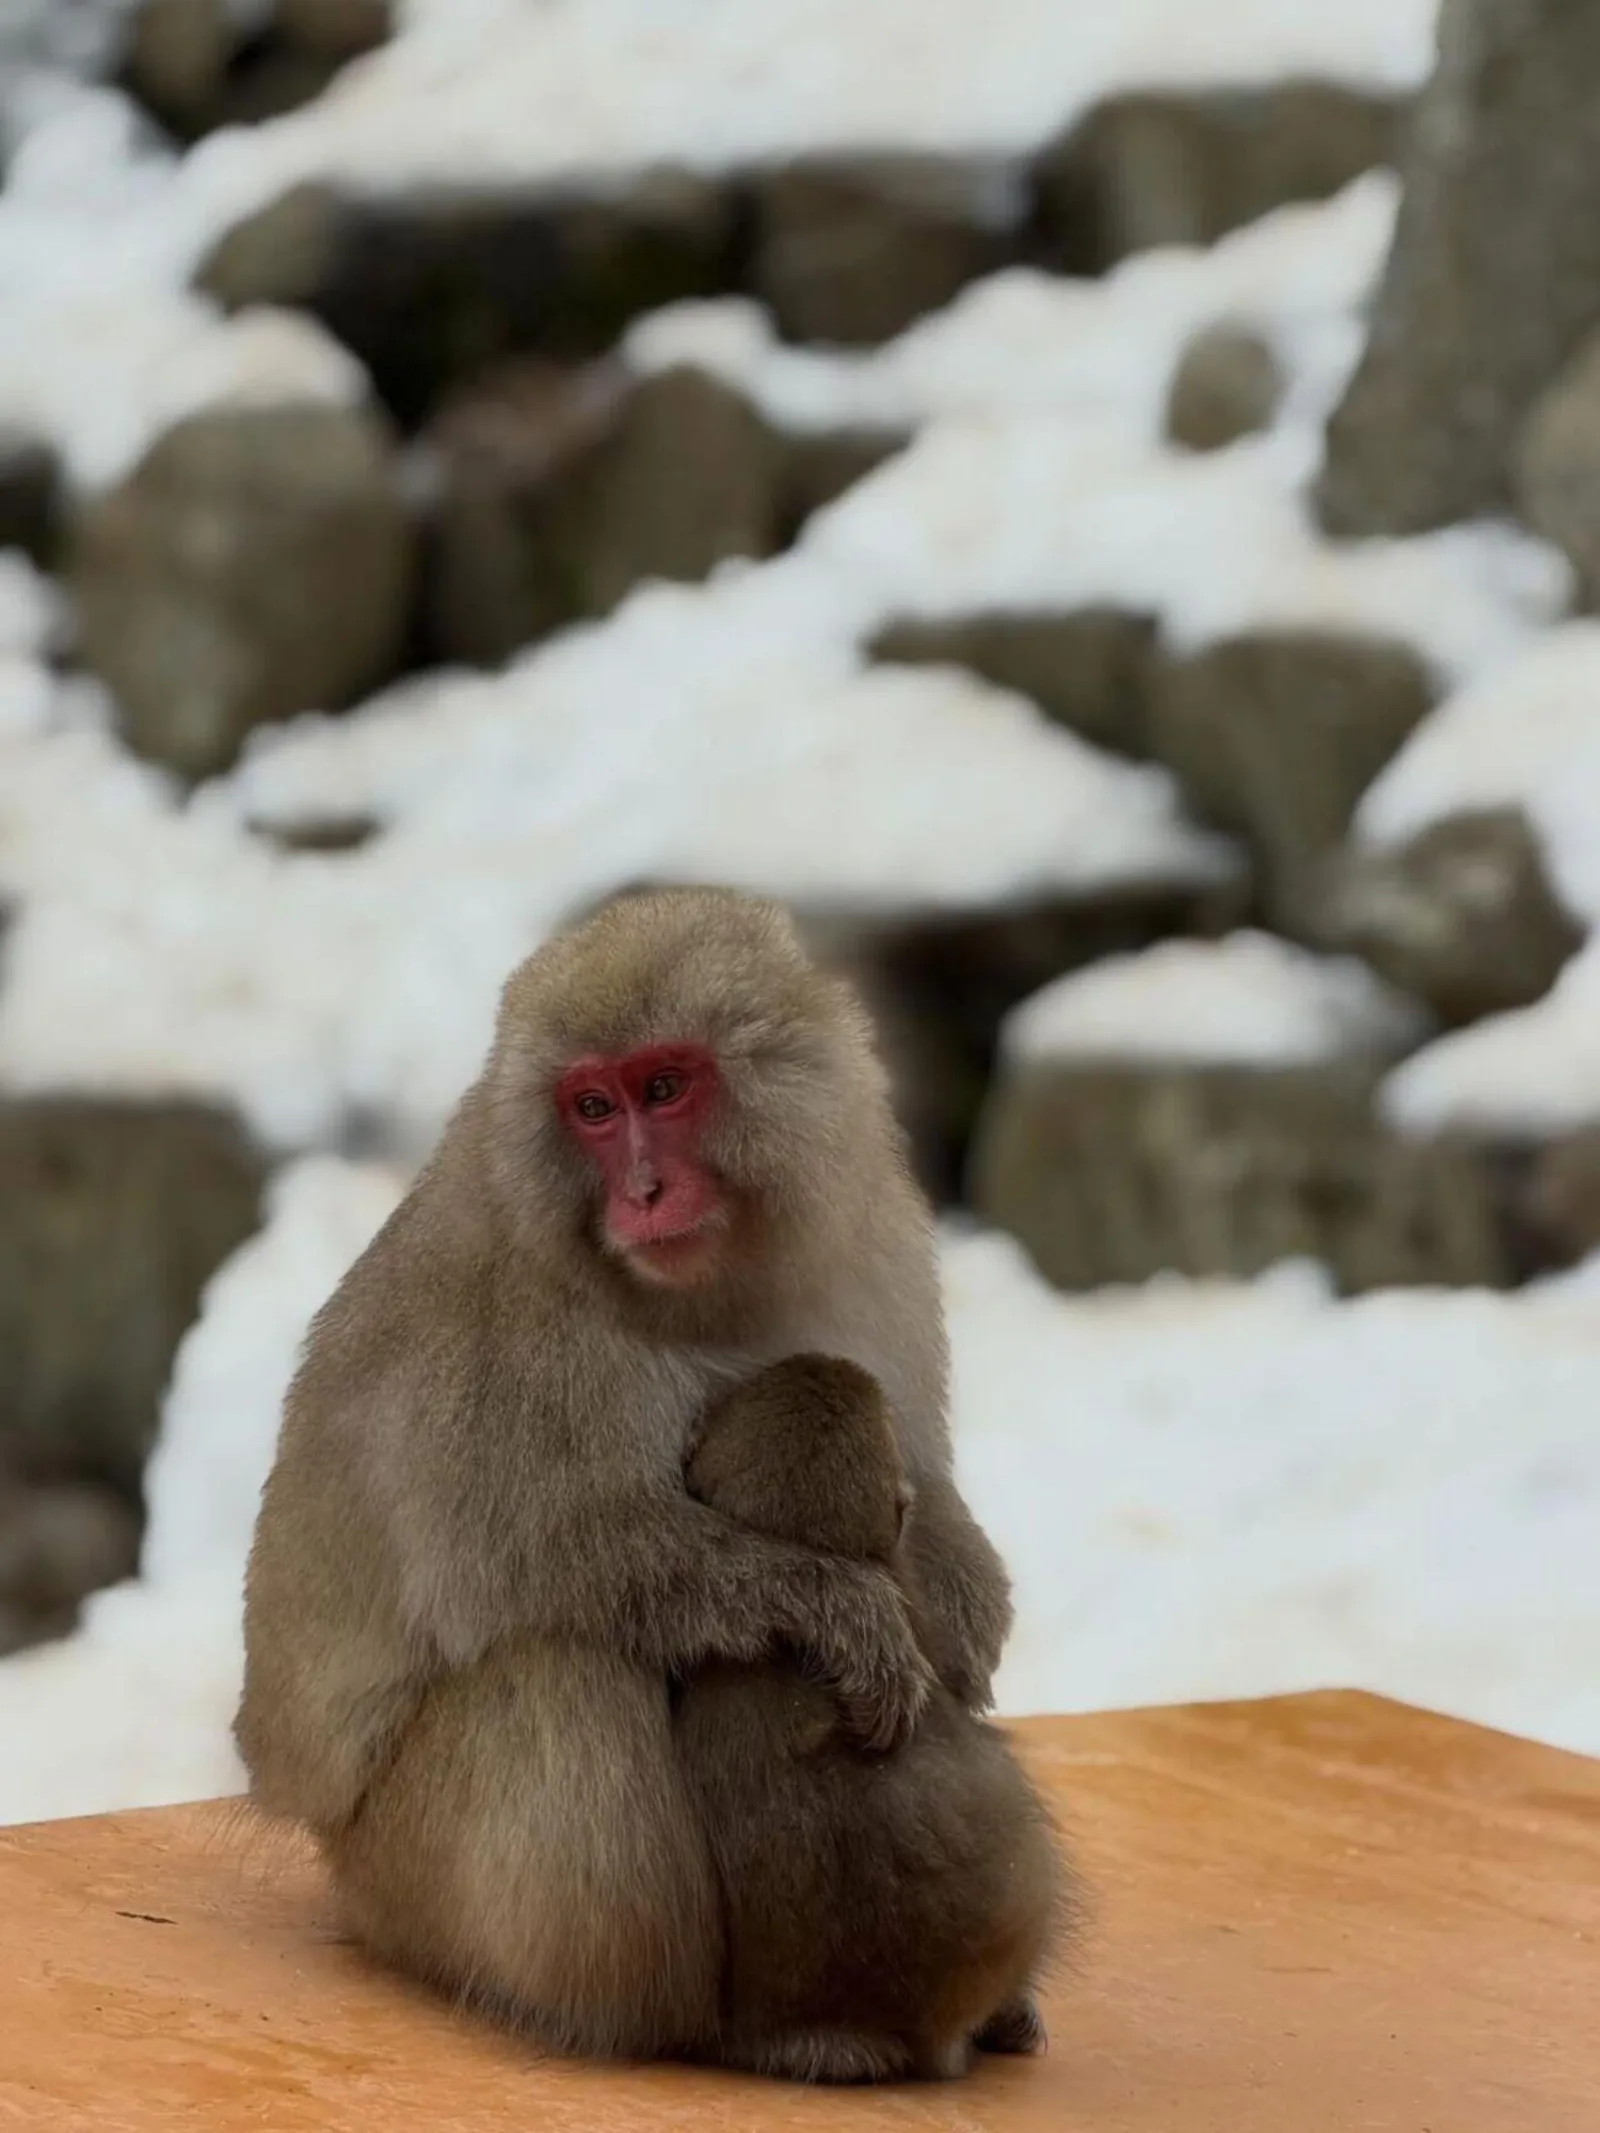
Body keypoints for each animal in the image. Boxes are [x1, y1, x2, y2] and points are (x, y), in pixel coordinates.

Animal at [235, 886, 1018, 2072]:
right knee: (556, 1673)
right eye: (592, 1109)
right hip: (398, 1877)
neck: (710, 1292)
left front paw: (964, 1605)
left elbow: (922, 1472)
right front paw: (838, 1607)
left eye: (664, 1087)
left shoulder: (871, 1230)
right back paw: (662, 2023)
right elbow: (557, 1559)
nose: (642, 1188)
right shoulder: (515, 1340)